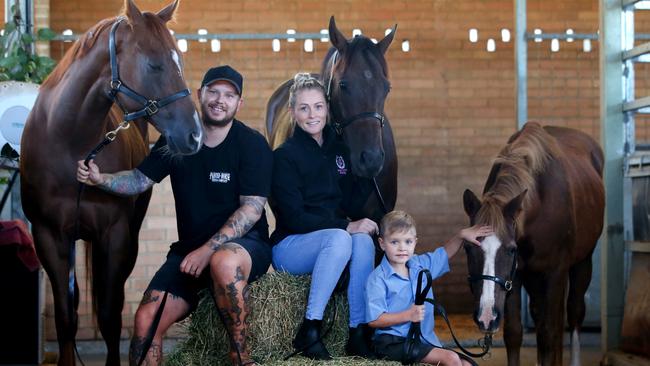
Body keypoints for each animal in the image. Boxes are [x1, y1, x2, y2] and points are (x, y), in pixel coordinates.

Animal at [20, 1, 201, 364]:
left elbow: (109, 315)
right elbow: (66, 317)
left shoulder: (114, 236)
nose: (194, 134)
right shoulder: (48, 236)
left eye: (180, 59)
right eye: (154, 64)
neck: (69, 141)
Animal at [460, 123, 604, 366]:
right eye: (468, 248)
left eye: (511, 250)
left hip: (583, 262)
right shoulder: (515, 277)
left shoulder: (555, 272)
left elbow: (548, 332)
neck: (539, 202)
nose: (487, 317)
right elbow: (514, 333)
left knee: (573, 314)